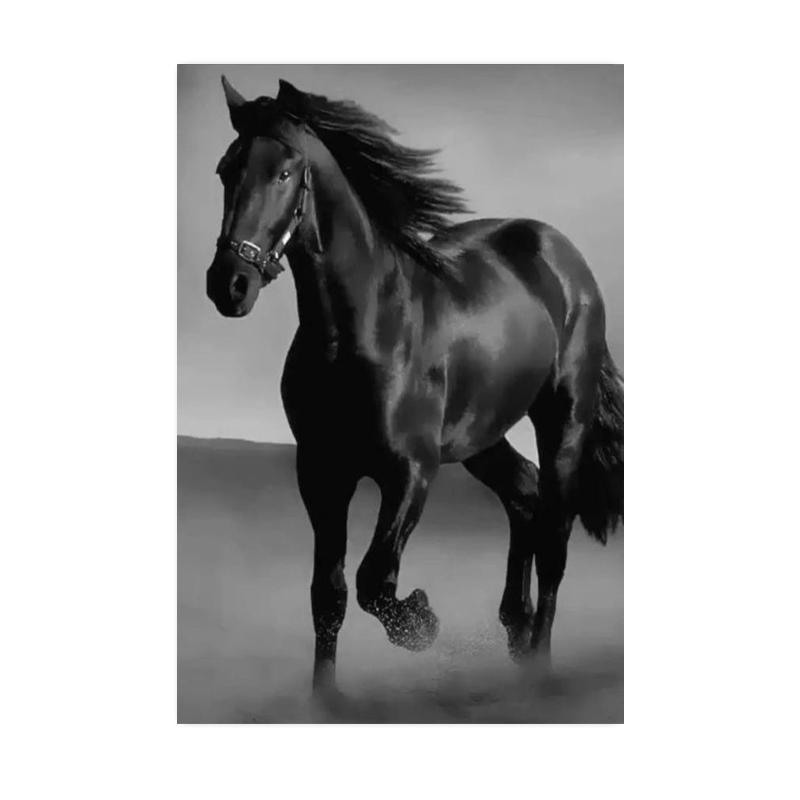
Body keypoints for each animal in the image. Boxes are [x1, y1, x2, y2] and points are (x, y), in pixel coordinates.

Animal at [205, 76, 624, 693]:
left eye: (283, 172)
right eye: (225, 170)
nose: (229, 284)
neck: (361, 329)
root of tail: (563, 255)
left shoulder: (411, 471)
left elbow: (374, 579)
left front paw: (422, 622)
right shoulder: (321, 472)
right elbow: (328, 595)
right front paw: (324, 698)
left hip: (563, 419)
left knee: (553, 535)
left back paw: (539, 661)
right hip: (480, 436)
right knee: (523, 494)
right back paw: (516, 630)